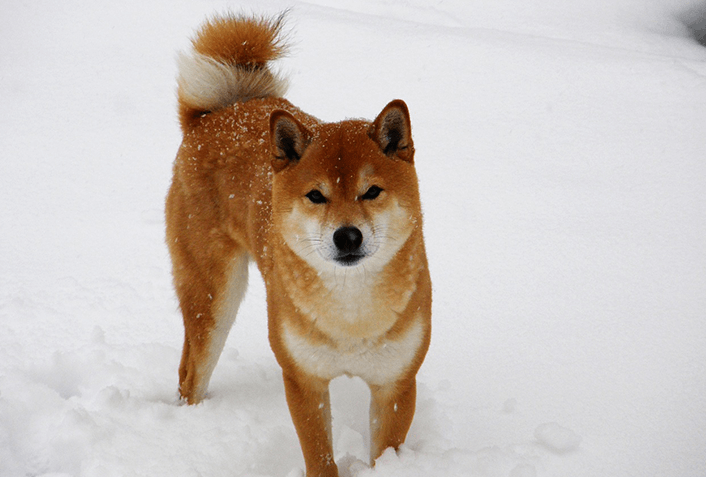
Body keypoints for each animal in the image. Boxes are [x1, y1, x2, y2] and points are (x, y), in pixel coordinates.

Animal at [165, 12, 428, 476]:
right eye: (316, 196)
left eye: (371, 191)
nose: (347, 236)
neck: (351, 315)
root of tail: (220, 112)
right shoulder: (304, 380)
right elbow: (319, 458)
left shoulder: (395, 383)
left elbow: (385, 452)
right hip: (214, 300)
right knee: (190, 374)